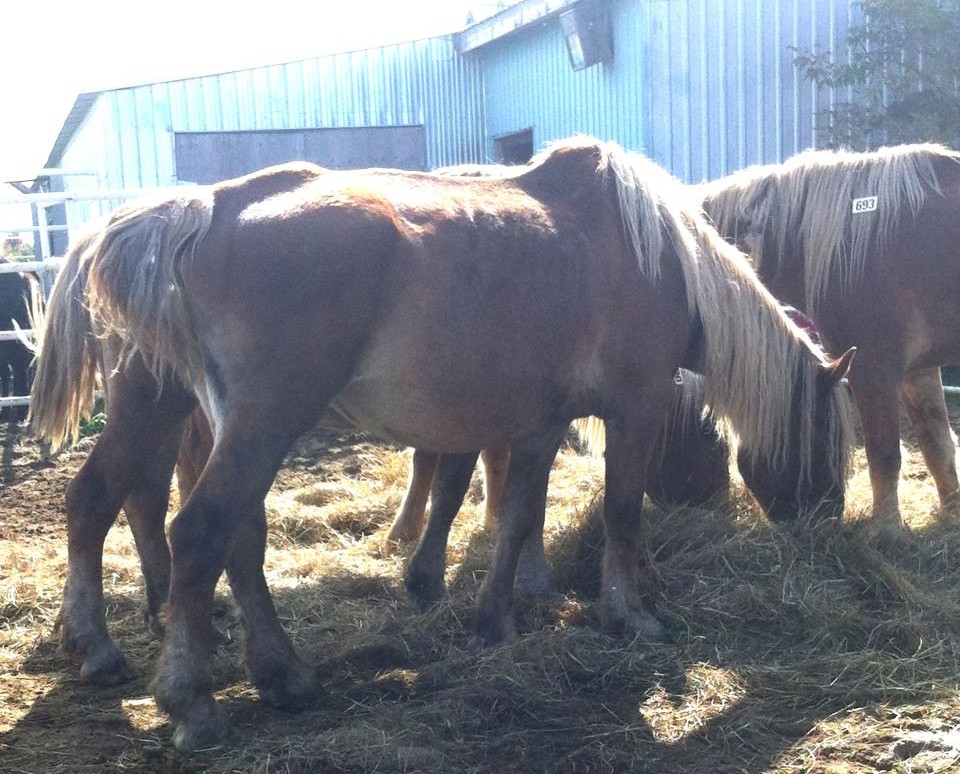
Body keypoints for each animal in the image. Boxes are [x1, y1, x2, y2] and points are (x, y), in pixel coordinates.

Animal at [40, 137, 852, 751]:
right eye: (826, 439)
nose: (826, 524)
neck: (654, 255)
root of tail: (206, 211)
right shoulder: (636, 409)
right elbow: (619, 513)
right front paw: (629, 617)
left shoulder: (538, 425)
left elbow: (516, 517)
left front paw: (495, 620)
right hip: (257, 422)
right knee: (199, 530)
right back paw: (192, 699)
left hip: (185, 416)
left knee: (135, 511)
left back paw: (243, 669)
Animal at [700, 143, 960, 527]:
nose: (826, 513)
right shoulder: (918, 371)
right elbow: (937, 446)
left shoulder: (873, 371)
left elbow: (884, 456)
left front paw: (885, 531)